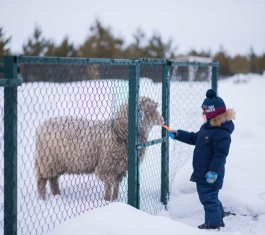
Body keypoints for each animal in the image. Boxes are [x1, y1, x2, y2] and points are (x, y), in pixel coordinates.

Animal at [34, 96, 164, 201]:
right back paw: (43, 199)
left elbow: (116, 185)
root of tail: (41, 126)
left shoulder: (120, 169)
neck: (118, 132)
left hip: (54, 163)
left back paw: (57, 195)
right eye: (147, 110)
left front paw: (115, 200)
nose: (162, 120)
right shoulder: (107, 166)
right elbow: (108, 185)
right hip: (46, 161)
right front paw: (106, 200)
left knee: (53, 180)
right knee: (41, 182)